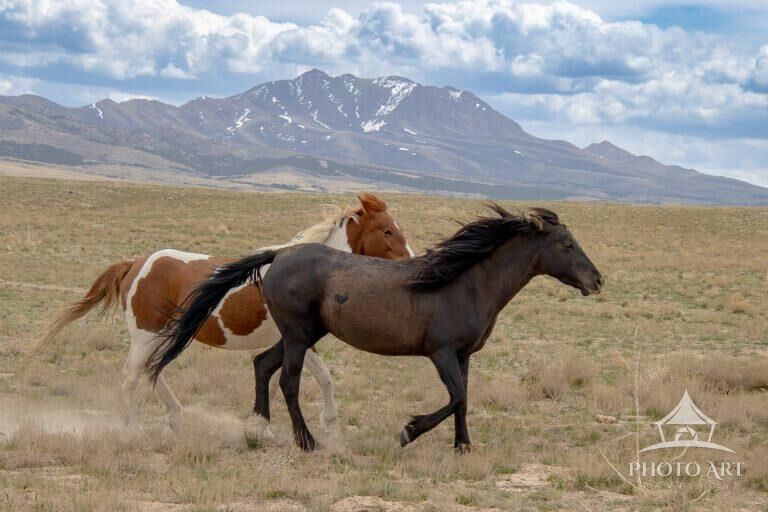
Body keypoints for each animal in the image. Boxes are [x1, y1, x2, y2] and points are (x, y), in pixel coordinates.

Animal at [31, 192, 413, 439]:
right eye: (387, 231)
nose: (412, 264)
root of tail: (135, 263)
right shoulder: (296, 337)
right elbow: (309, 378)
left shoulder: (300, 339)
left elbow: (321, 378)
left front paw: (324, 428)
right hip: (145, 334)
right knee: (131, 377)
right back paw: (133, 430)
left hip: (168, 334)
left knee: (154, 371)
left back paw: (174, 419)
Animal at [151, 204, 603, 452]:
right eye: (566, 245)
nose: (597, 281)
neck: (463, 283)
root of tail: (279, 256)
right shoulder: (441, 354)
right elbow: (455, 397)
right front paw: (408, 432)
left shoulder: (464, 356)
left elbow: (464, 400)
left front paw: (463, 446)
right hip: (298, 335)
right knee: (288, 382)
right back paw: (307, 442)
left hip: (306, 334)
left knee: (262, 364)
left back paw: (259, 428)